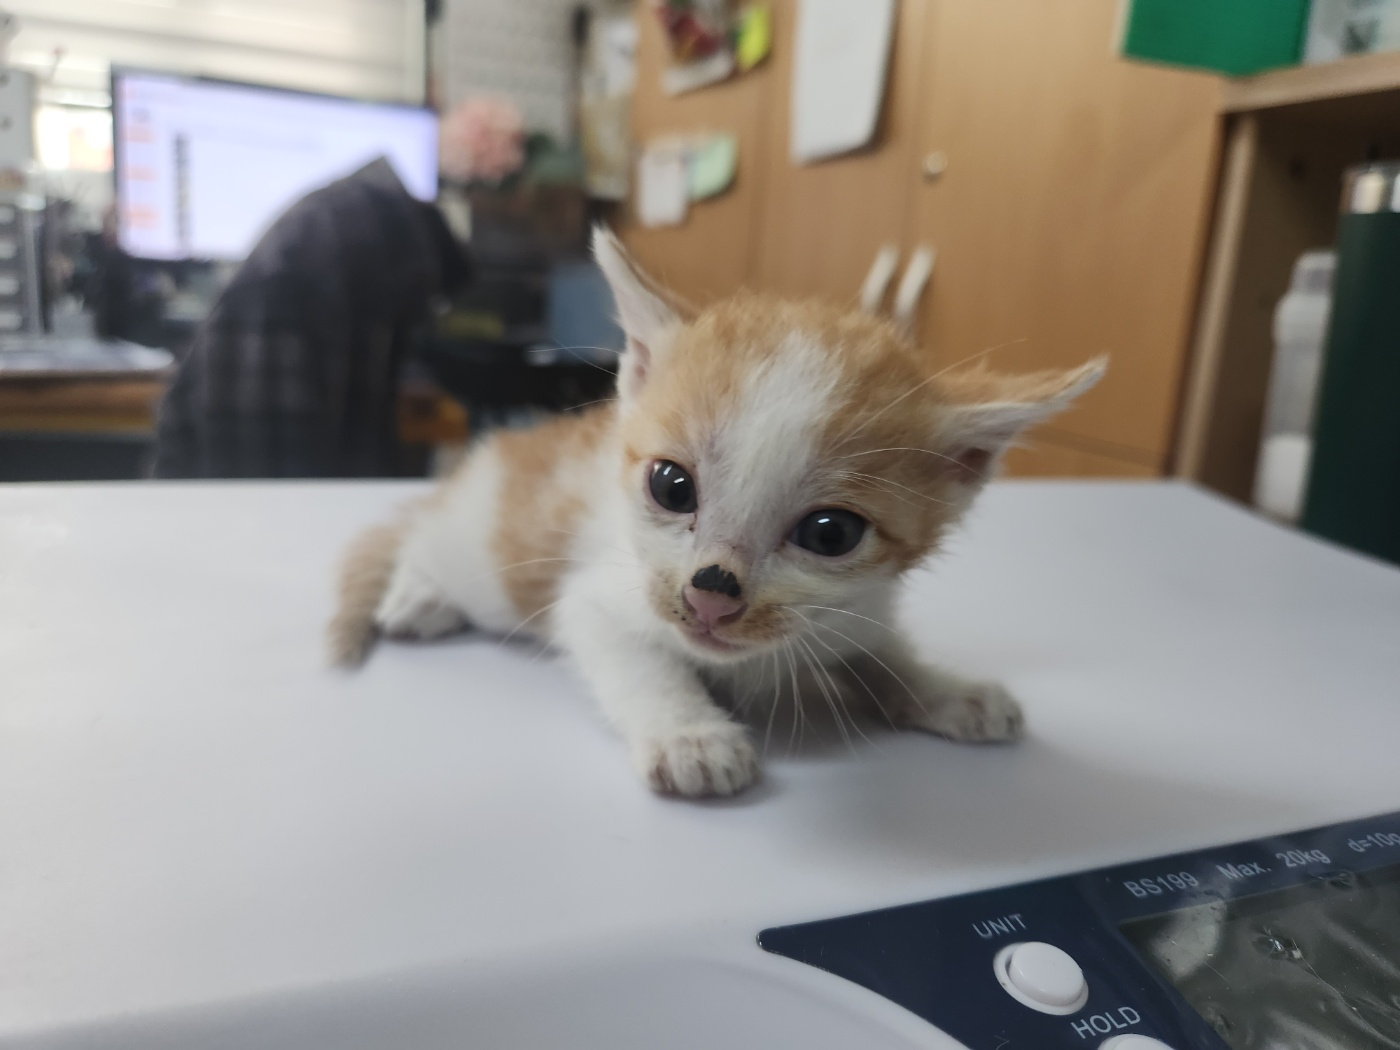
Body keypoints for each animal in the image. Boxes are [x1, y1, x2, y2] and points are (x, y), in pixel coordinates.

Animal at [330, 229, 1103, 800]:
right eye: (672, 487)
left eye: (831, 533)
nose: (711, 593)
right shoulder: (596, 597)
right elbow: (638, 661)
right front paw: (689, 736)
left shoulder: (854, 608)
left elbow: (880, 653)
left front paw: (945, 689)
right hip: (488, 548)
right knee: (422, 538)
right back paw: (418, 595)